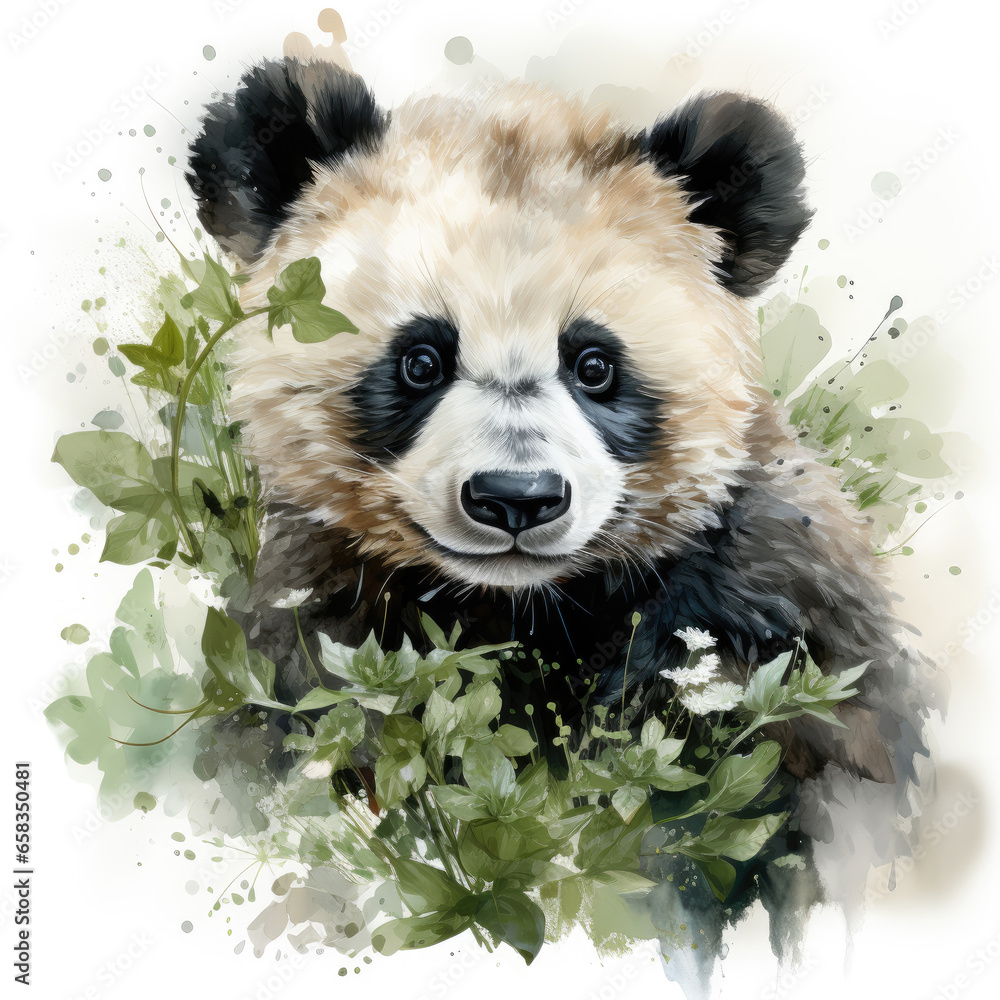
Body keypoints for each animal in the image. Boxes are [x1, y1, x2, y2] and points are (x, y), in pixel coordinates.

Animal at [187, 56, 933, 966]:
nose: (517, 499)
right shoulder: (322, 625)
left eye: (595, 364)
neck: (524, 609)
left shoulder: (759, 608)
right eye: (421, 360)